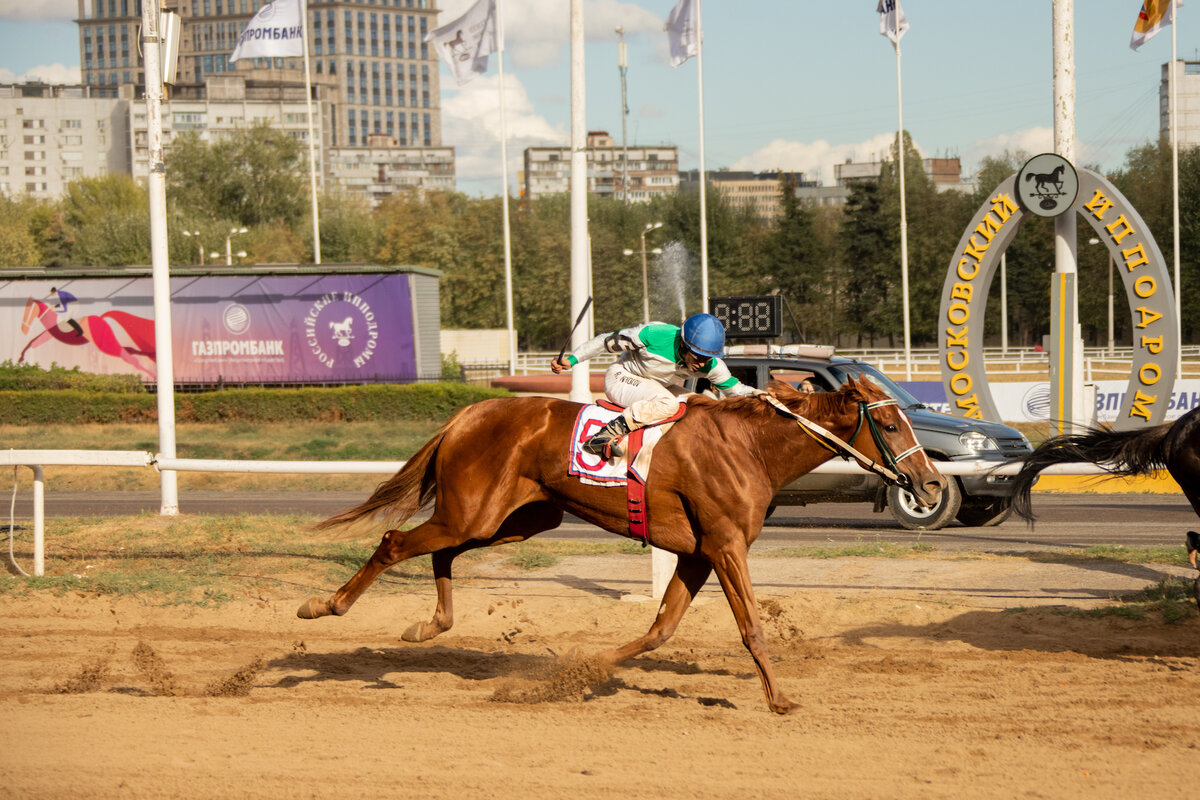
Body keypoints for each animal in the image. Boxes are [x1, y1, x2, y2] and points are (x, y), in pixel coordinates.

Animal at [300, 379, 945, 714]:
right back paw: (325, 605)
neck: (750, 446)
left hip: (516, 517)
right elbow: (751, 627)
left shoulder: (697, 553)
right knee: (393, 541)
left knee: (440, 551)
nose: (933, 483)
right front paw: (780, 698)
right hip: (475, 511)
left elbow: (661, 630)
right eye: (890, 426)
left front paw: (581, 671)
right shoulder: (725, 545)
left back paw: (428, 625)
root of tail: (469, 412)